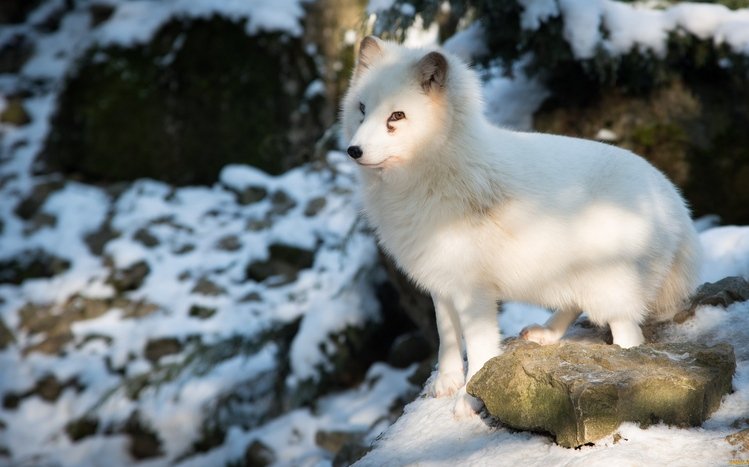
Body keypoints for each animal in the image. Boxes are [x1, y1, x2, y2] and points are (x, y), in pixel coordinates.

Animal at [341, 36, 701, 417]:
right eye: (362, 108)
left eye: (396, 116)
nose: (353, 150)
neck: (435, 172)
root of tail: (673, 200)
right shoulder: (441, 281)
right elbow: (446, 336)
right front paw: (446, 383)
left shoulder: (474, 290)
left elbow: (479, 346)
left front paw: (469, 398)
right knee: (574, 304)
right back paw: (546, 334)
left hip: (612, 287)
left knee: (629, 334)